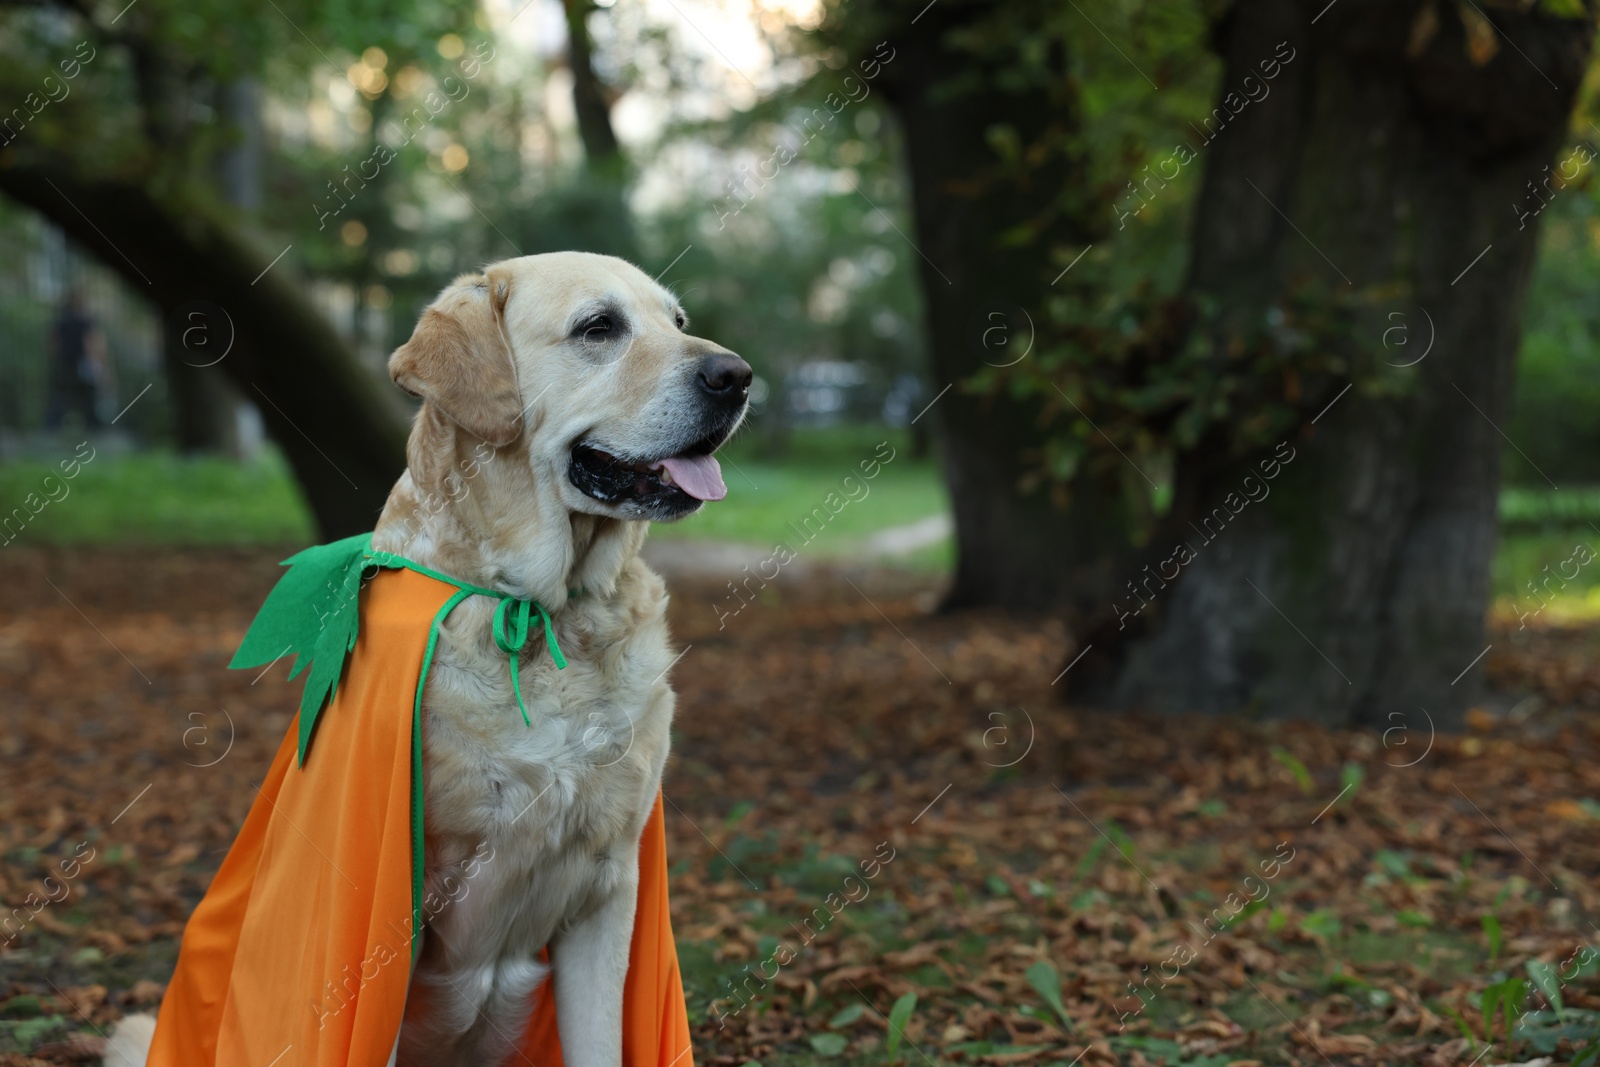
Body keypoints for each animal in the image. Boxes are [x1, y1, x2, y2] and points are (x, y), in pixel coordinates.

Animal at [112, 252, 748, 1067]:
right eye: (599, 327)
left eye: (677, 321)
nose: (738, 375)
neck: (539, 608)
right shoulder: (398, 909)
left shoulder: (609, 887)